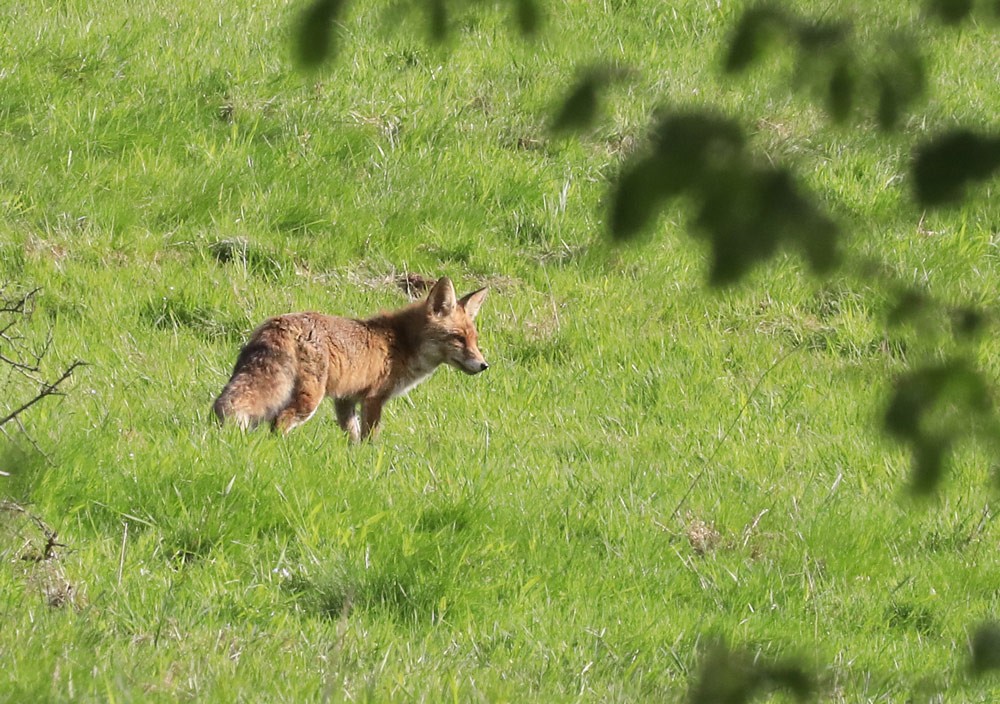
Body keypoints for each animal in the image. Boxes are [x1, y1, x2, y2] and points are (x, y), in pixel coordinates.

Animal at [213, 277, 488, 442]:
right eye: (458, 339)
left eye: (474, 340)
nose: (484, 365)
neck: (401, 343)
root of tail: (279, 324)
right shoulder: (374, 398)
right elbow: (370, 438)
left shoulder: (346, 399)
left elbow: (352, 437)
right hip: (309, 399)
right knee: (280, 422)